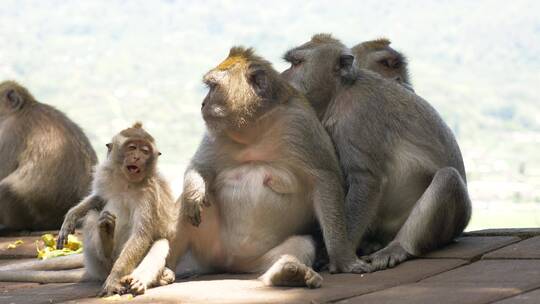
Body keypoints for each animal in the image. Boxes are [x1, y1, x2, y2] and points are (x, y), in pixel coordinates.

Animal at [0, 121, 178, 296]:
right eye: (132, 147)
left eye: (145, 151)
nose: (137, 157)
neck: (127, 183)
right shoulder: (105, 174)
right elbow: (98, 198)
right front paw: (71, 217)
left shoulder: (151, 194)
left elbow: (141, 235)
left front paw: (114, 278)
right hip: (96, 263)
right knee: (93, 215)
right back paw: (106, 239)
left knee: (160, 242)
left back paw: (140, 279)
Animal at [170, 46, 372, 288]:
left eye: (213, 87)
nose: (202, 104)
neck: (255, 129)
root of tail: (230, 264)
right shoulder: (216, 134)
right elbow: (200, 168)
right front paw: (194, 194)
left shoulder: (300, 125)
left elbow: (325, 180)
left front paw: (342, 258)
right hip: (209, 247)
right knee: (187, 210)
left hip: (256, 260)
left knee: (302, 245)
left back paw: (287, 273)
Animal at [282, 34, 472, 272]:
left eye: (297, 63)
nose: (282, 77)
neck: (339, 94)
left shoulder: (358, 117)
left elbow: (365, 180)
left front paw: (338, 258)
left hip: (451, 223)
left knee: (448, 178)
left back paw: (399, 247)